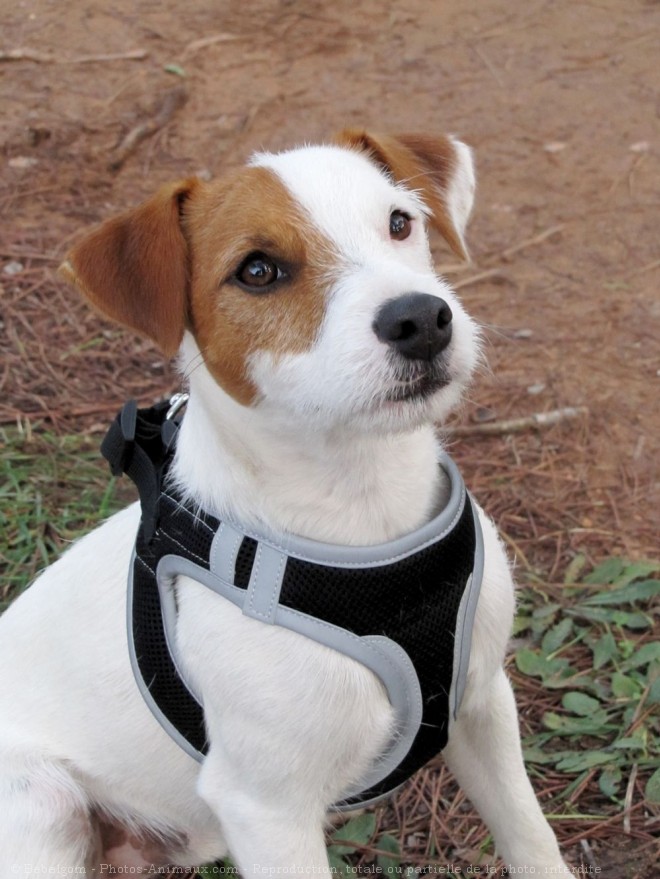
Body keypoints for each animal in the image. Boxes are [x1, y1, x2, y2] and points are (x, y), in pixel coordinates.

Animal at [0, 131, 568, 872]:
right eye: (258, 270)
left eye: (399, 222)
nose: (421, 318)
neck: (364, 511)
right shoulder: (268, 809)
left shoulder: (480, 703)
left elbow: (532, 837)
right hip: (42, 803)